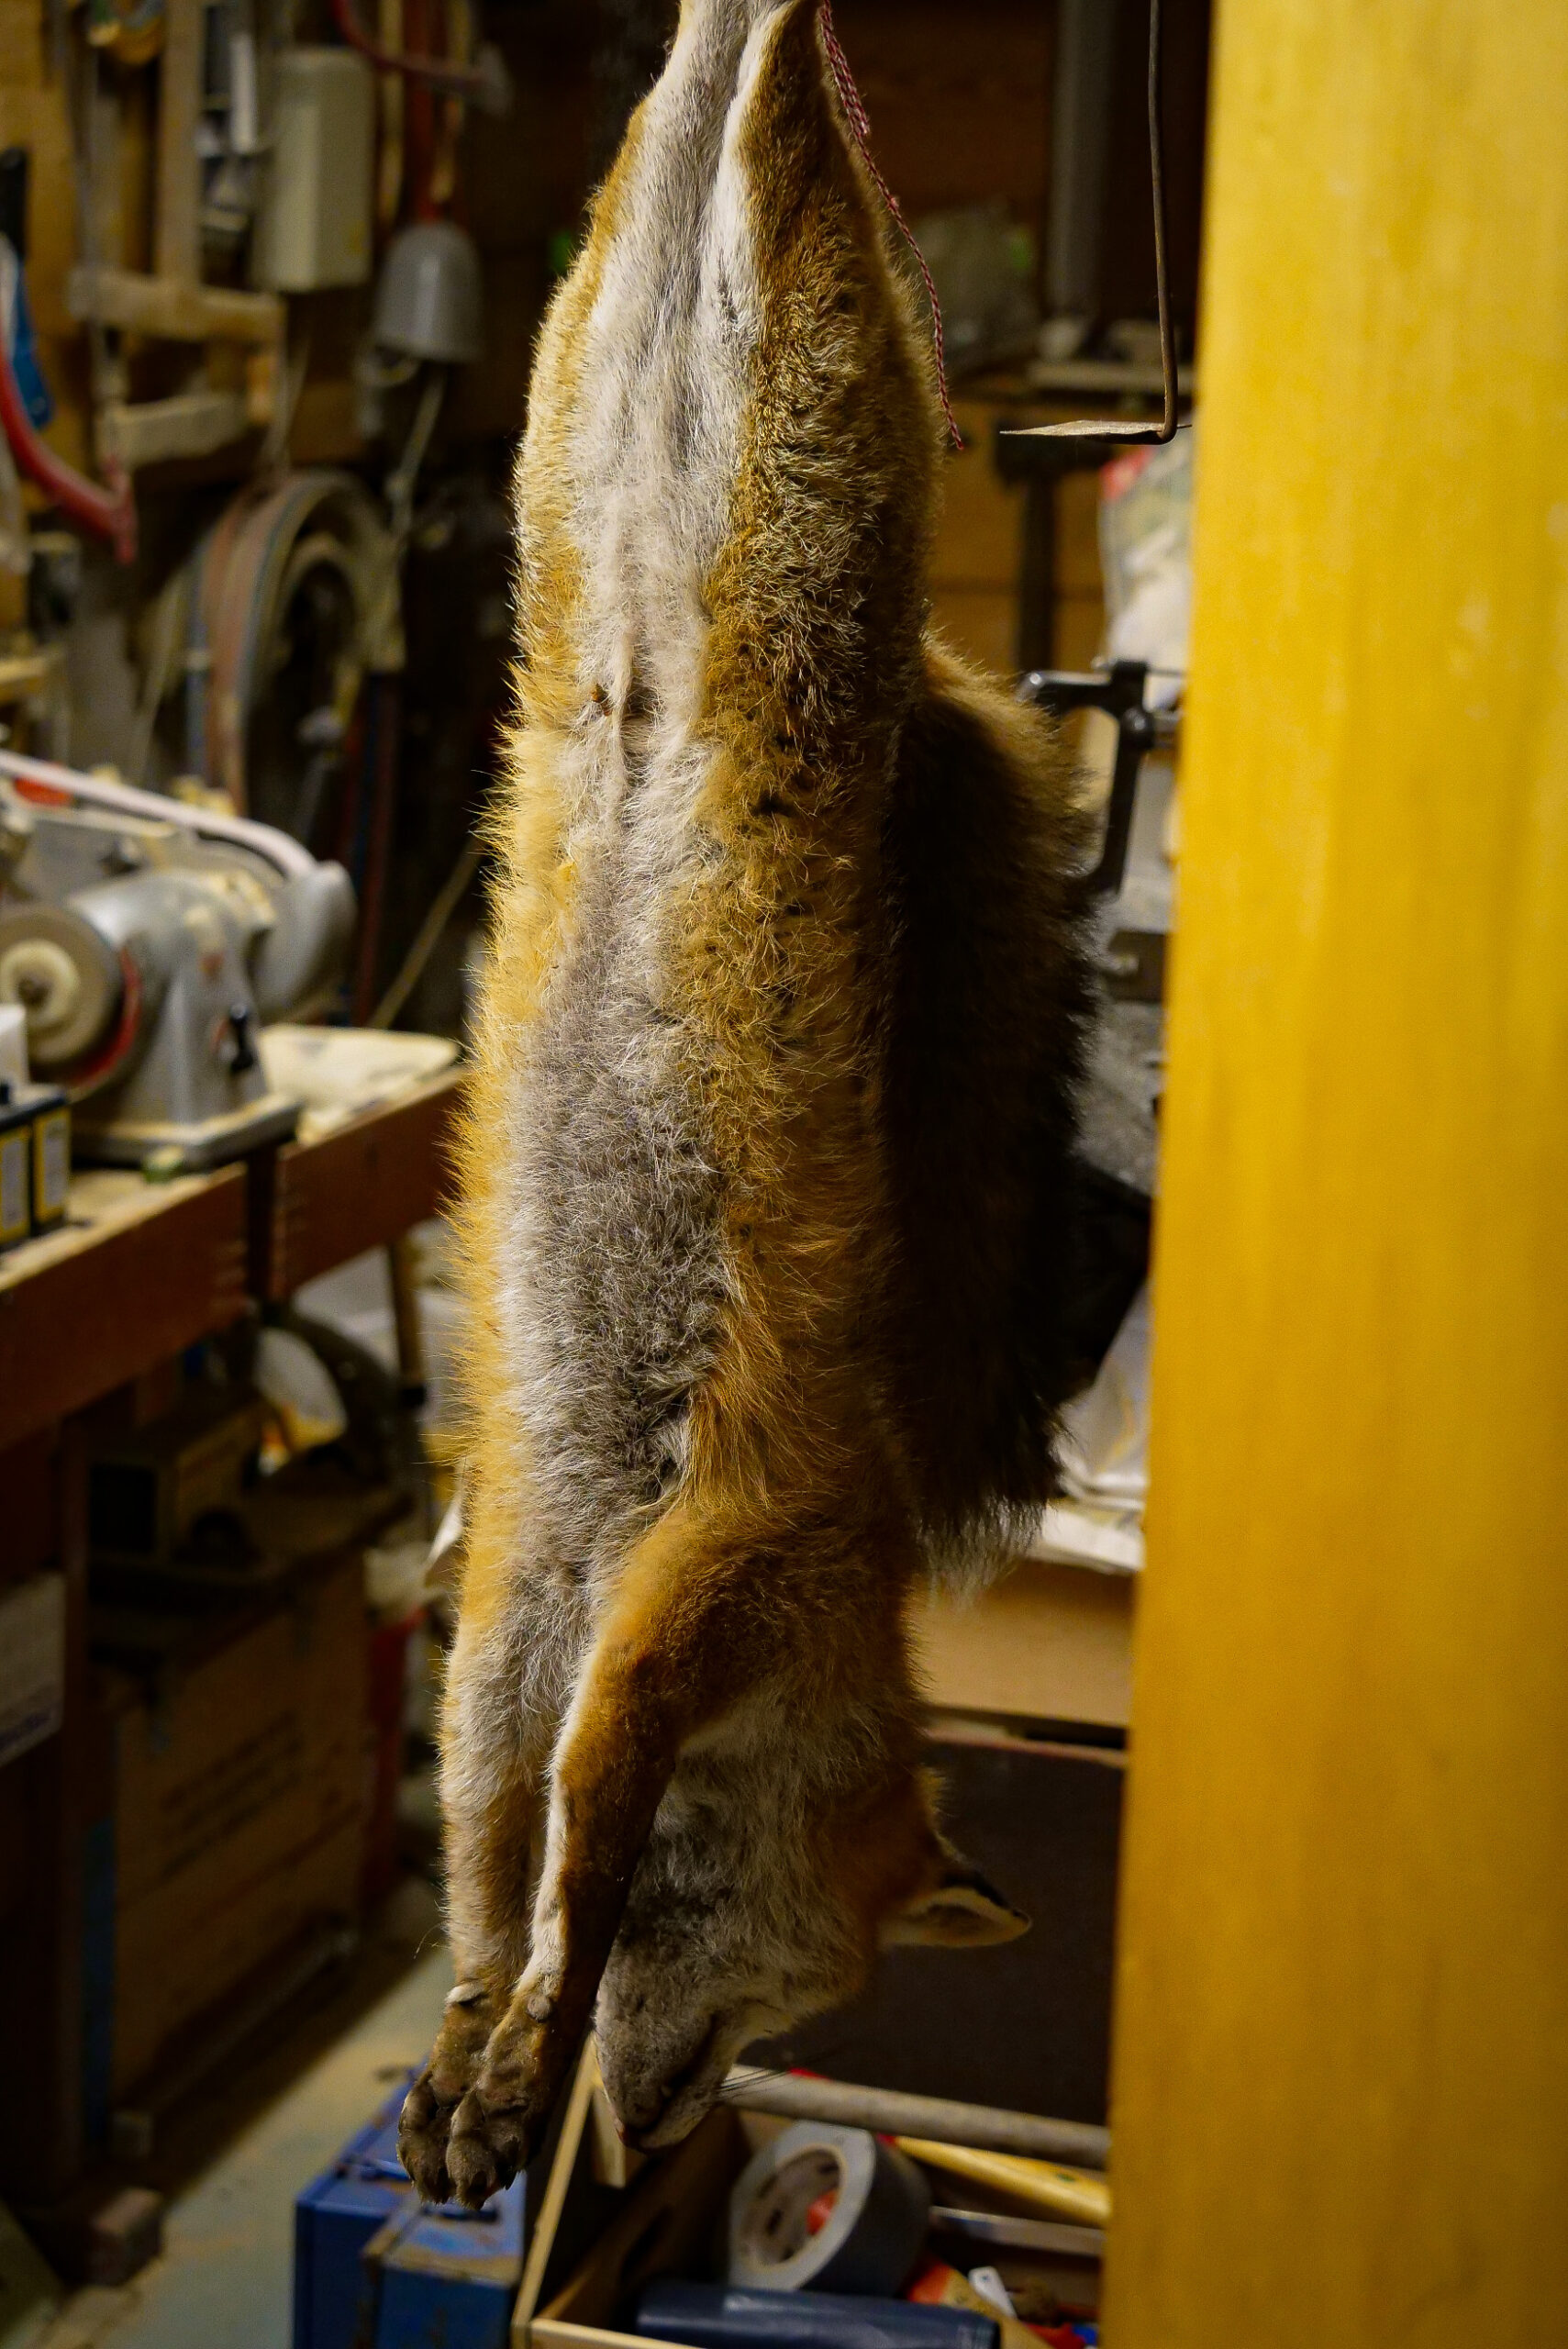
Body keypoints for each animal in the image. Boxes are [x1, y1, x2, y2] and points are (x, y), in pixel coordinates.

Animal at [399, 0, 1092, 2209]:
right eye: (793, 2005)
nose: (657, 2154)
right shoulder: (704, 1573)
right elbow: (570, 1843)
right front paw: (517, 2055)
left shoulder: (535, 1613)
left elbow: (497, 1858)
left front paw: (478, 2052)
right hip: (811, 417)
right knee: (778, 60)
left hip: (590, 376)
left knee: (714, 69)